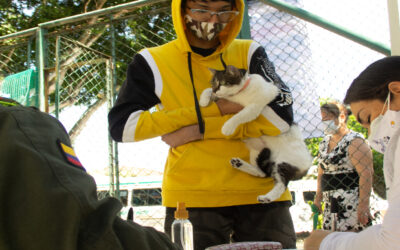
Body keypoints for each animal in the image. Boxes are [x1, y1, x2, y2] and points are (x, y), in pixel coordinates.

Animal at [200, 65, 312, 203]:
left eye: (221, 83)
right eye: (213, 83)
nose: (215, 90)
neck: (239, 95)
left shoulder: (255, 106)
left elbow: (240, 115)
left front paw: (228, 127)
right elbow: (206, 90)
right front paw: (203, 100)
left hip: (284, 163)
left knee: (281, 185)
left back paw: (267, 198)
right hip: (257, 151)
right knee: (262, 173)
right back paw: (240, 164)